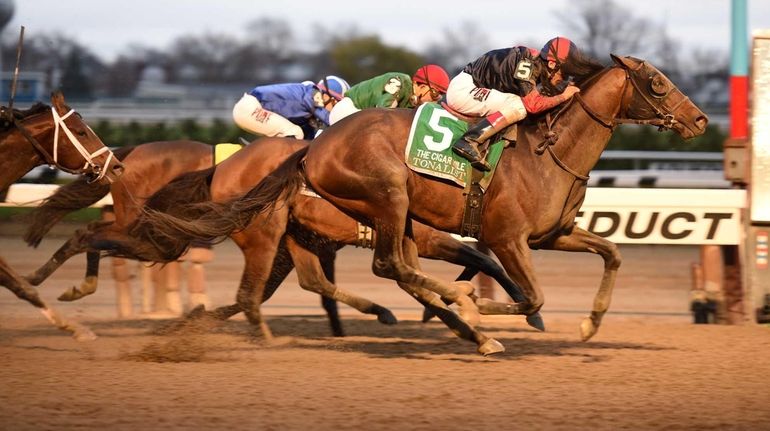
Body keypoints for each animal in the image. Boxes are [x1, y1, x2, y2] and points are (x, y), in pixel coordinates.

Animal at [129, 55, 704, 356]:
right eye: (657, 83)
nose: (698, 120)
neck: (549, 153)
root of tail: (311, 149)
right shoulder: (505, 237)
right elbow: (527, 293)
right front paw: (477, 309)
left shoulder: (551, 235)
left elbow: (612, 254)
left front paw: (588, 325)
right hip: (374, 200)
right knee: (374, 268)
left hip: (343, 226)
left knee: (354, 275)